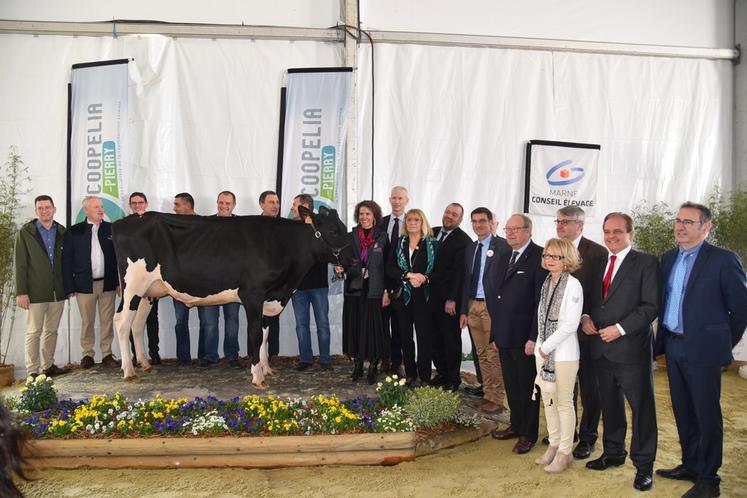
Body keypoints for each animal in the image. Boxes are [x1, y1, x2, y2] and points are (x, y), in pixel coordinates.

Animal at [112, 206, 356, 390]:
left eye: (344, 228)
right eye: (333, 231)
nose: (355, 260)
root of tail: (123, 222)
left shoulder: (268, 298)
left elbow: (265, 336)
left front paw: (267, 368)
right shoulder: (253, 295)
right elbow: (255, 335)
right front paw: (258, 377)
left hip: (148, 293)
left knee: (137, 323)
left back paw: (144, 363)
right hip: (133, 286)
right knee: (122, 322)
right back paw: (129, 371)